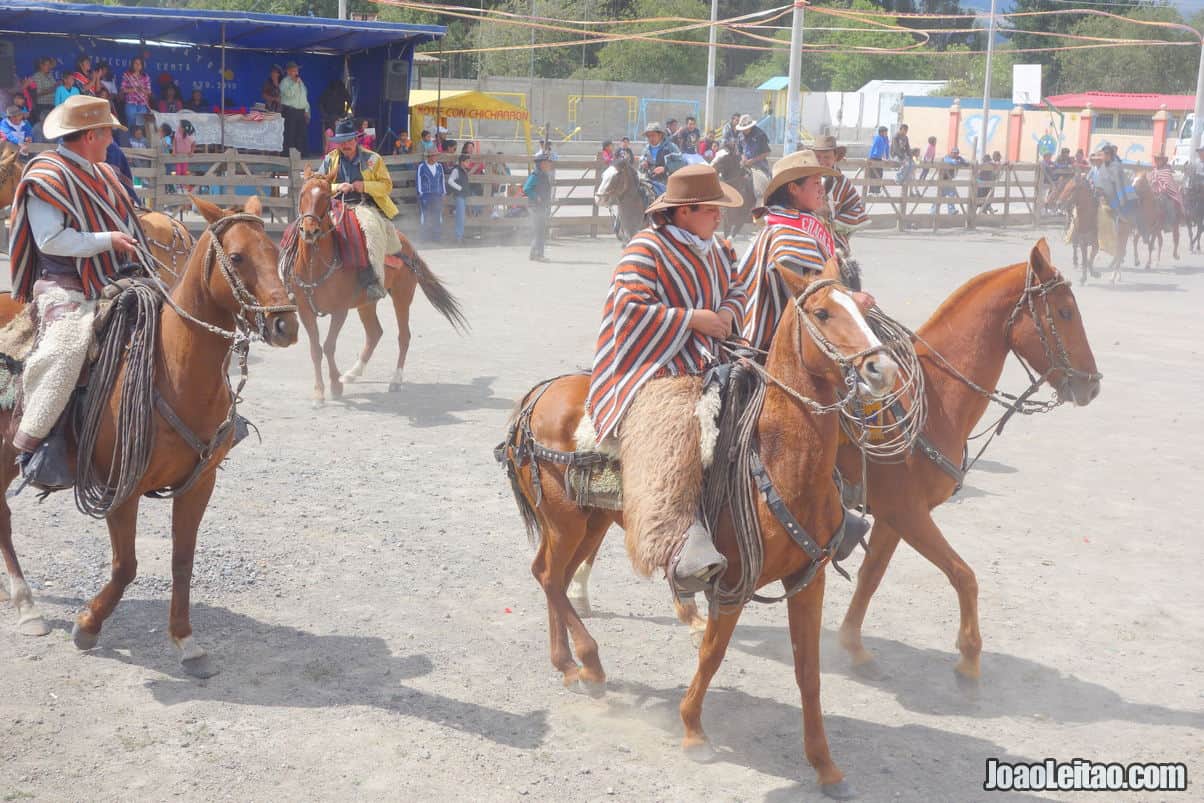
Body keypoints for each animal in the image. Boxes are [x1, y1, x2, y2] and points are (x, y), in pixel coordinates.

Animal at [0, 196, 298, 678]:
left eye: (275, 251)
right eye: (236, 257)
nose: (286, 325)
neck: (173, 368)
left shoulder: (199, 484)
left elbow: (182, 561)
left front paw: (186, 641)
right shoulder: (121, 487)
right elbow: (126, 566)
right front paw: (87, 625)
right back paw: (27, 607)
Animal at [284, 173, 467, 404]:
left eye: (326, 196)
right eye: (302, 194)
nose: (309, 230)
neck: (314, 266)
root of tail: (407, 246)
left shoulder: (340, 310)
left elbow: (329, 346)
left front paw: (335, 386)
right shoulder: (305, 311)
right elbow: (316, 349)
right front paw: (319, 392)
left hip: (402, 297)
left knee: (404, 336)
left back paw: (395, 380)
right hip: (366, 303)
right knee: (375, 333)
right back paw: (352, 374)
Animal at [493, 262, 900, 799]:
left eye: (863, 306)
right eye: (822, 312)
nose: (882, 371)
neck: (780, 461)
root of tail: (537, 396)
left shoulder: (807, 580)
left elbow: (808, 673)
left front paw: (826, 766)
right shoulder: (731, 584)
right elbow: (712, 653)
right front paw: (692, 731)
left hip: (591, 522)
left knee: (553, 579)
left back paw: (569, 666)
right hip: (565, 521)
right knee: (547, 576)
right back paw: (589, 663)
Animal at [563, 241, 1102, 688]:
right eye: (1064, 311)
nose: (1092, 385)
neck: (931, 400)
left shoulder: (892, 518)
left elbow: (871, 577)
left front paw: (853, 646)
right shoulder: (907, 512)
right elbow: (963, 574)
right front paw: (969, 658)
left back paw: (598, 592)